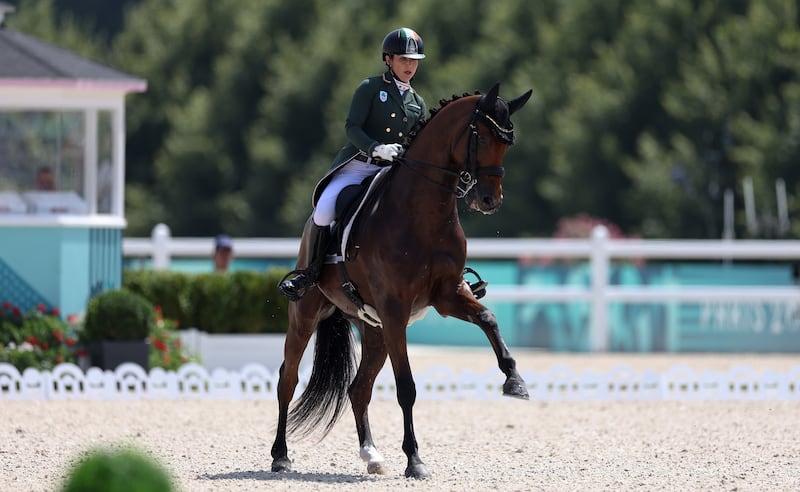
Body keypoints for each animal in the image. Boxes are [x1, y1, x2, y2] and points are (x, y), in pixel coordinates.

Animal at [272, 82, 536, 478]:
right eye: (484, 137)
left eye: (508, 142)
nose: (489, 201)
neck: (424, 214)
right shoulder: (396, 310)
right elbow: (406, 388)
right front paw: (415, 460)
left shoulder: (446, 295)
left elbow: (488, 318)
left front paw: (514, 381)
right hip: (307, 316)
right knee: (287, 380)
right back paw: (280, 455)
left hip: (375, 330)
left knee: (358, 389)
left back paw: (372, 455)